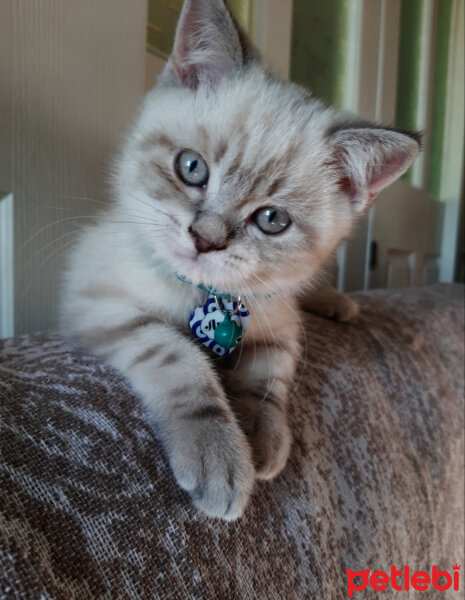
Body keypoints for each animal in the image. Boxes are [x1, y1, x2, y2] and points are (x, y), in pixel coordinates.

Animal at [59, 0, 418, 516]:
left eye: (271, 219)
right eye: (192, 168)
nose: (205, 240)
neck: (209, 296)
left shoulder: (280, 323)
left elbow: (270, 378)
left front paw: (261, 435)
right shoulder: (97, 301)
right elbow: (179, 356)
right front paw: (218, 453)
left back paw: (339, 303)